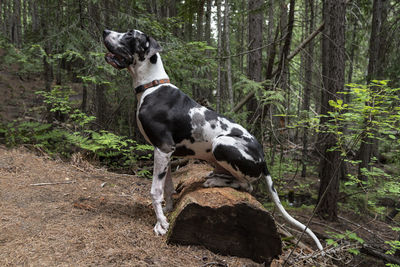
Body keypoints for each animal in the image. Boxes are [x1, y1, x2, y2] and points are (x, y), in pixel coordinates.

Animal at [102, 28, 322, 251]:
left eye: (130, 35)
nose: (105, 31)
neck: (151, 85)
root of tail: (262, 154)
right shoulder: (165, 152)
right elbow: (168, 187)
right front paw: (169, 211)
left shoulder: (163, 148)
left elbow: (155, 191)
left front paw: (160, 224)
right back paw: (215, 176)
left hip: (221, 144)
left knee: (247, 185)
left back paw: (216, 180)